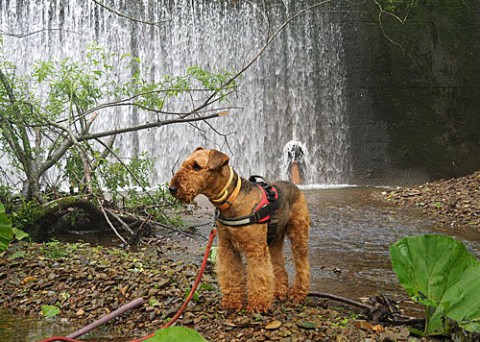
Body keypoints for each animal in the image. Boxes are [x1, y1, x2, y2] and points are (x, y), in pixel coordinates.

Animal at [169, 147, 312, 312]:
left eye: (197, 166)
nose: (172, 188)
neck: (232, 198)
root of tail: (294, 185)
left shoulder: (255, 248)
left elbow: (258, 275)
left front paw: (258, 304)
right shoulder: (227, 247)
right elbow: (231, 275)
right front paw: (232, 301)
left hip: (298, 235)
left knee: (302, 266)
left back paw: (298, 293)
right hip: (274, 239)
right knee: (279, 267)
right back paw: (279, 292)